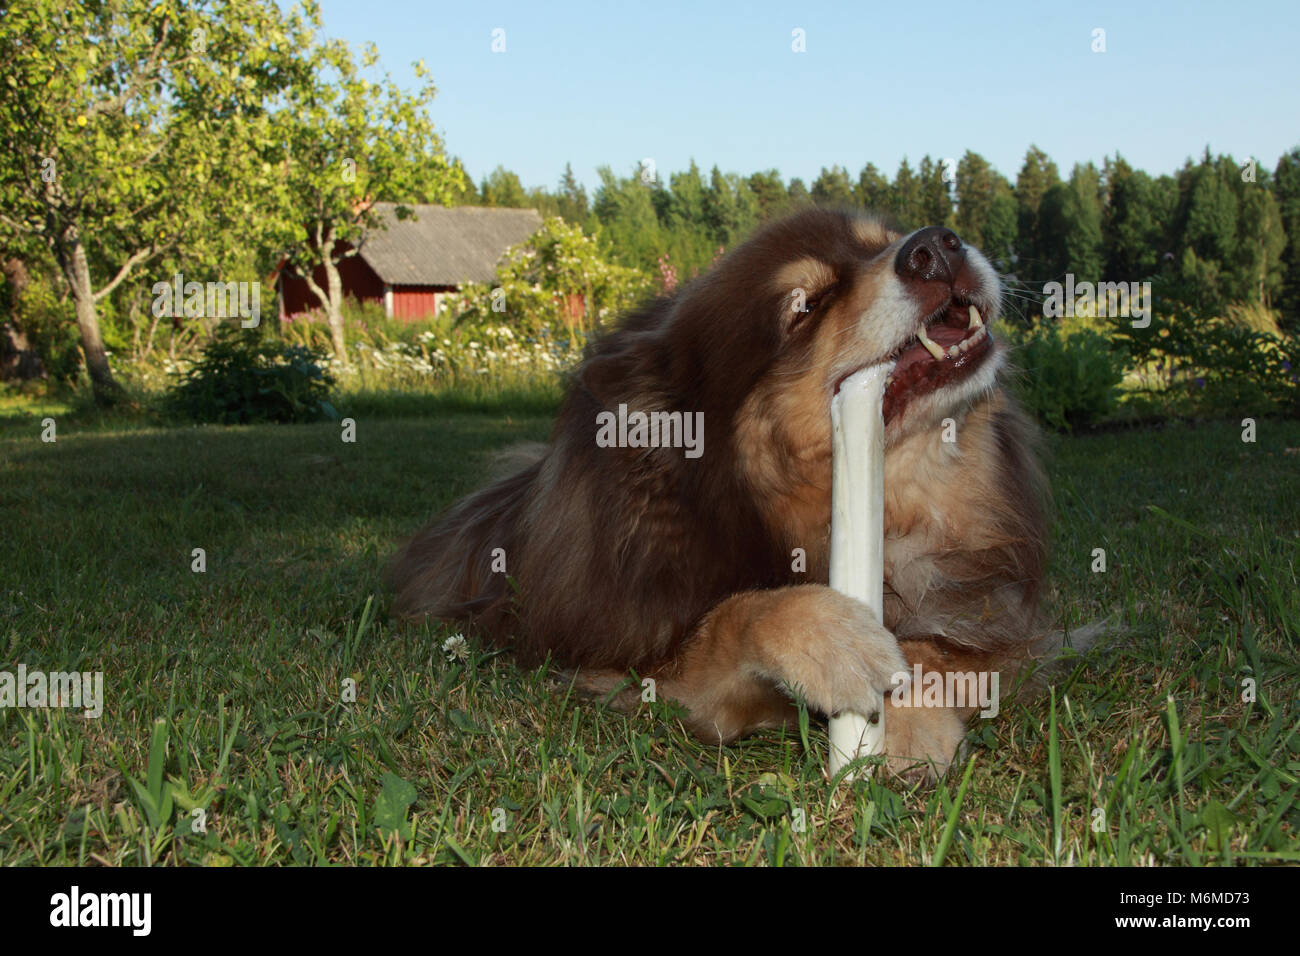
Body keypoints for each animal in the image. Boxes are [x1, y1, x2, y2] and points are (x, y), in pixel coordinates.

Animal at [390, 208, 1060, 780]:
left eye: (881, 242)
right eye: (805, 306)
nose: (936, 247)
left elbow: (947, 643)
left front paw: (912, 711)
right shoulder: (643, 670)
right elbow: (735, 614)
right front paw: (835, 639)